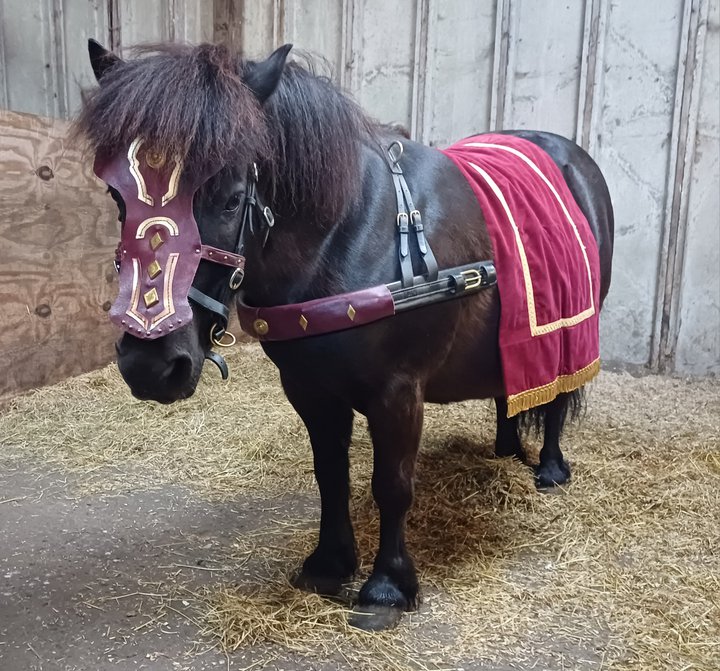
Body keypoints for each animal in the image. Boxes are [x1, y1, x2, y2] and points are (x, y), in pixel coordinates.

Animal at [75, 40, 614, 631]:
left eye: (232, 199)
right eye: (117, 197)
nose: (150, 366)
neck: (350, 231)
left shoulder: (398, 392)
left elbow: (392, 485)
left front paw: (387, 587)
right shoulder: (308, 389)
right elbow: (329, 474)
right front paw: (329, 564)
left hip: (575, 327)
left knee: (559, 393)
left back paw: (550, 468)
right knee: (512, 390)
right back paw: (505, 449)